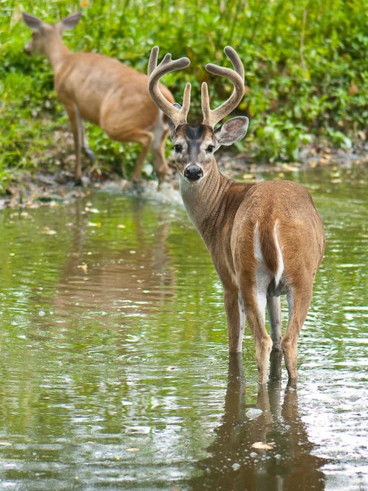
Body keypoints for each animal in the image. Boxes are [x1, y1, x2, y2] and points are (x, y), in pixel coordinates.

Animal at [22, 13, 174, 186]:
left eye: (33, 34)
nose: (26, 49)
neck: (62, 62)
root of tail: (167, 95)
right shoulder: (80, 106)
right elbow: (82, 133)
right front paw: (89, 154)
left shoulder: (69, 99)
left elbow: (76, 139)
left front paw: (78, 176)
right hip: (161, 130)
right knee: (162, 166)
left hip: (115, 120)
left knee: (146, 139)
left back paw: (135, 179)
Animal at [147, 46, 324, 384]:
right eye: (177, 146)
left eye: (211, 147)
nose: (193, 171)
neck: (218, 211)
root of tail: (269, 216)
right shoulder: (273, 290)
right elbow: (277, 331)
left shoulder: (225, 274)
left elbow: (234, 342)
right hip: (292, 274)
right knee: (284, 341)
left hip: (250, 272)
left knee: (263, 341)